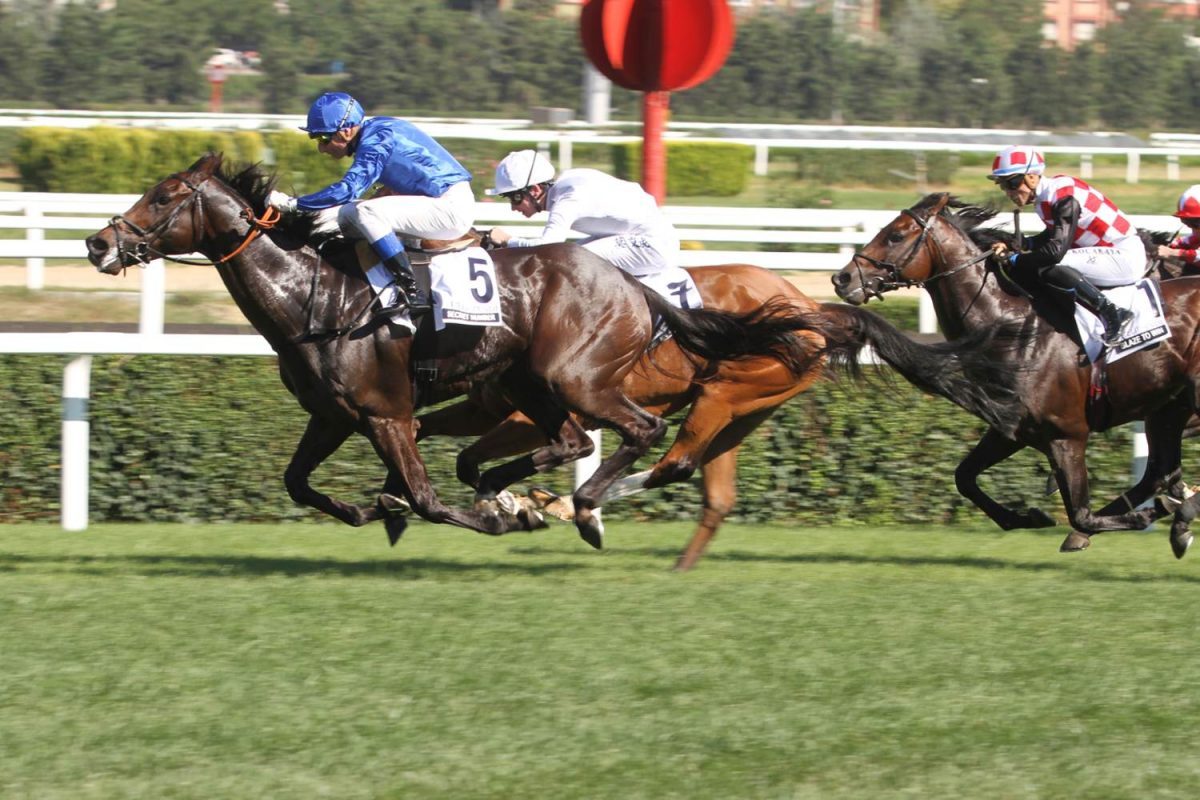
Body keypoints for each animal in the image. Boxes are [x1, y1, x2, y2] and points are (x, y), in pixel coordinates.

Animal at [830, 191, 1200, 556]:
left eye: (895, 235)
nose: (842, 278)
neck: (1014, 329)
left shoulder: (1066, 436)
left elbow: (1081, 514)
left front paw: (1156, 513)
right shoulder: (1010, 430)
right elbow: (964, 477)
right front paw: (1028, 517)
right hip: (1168, 409)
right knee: (1160, 471)